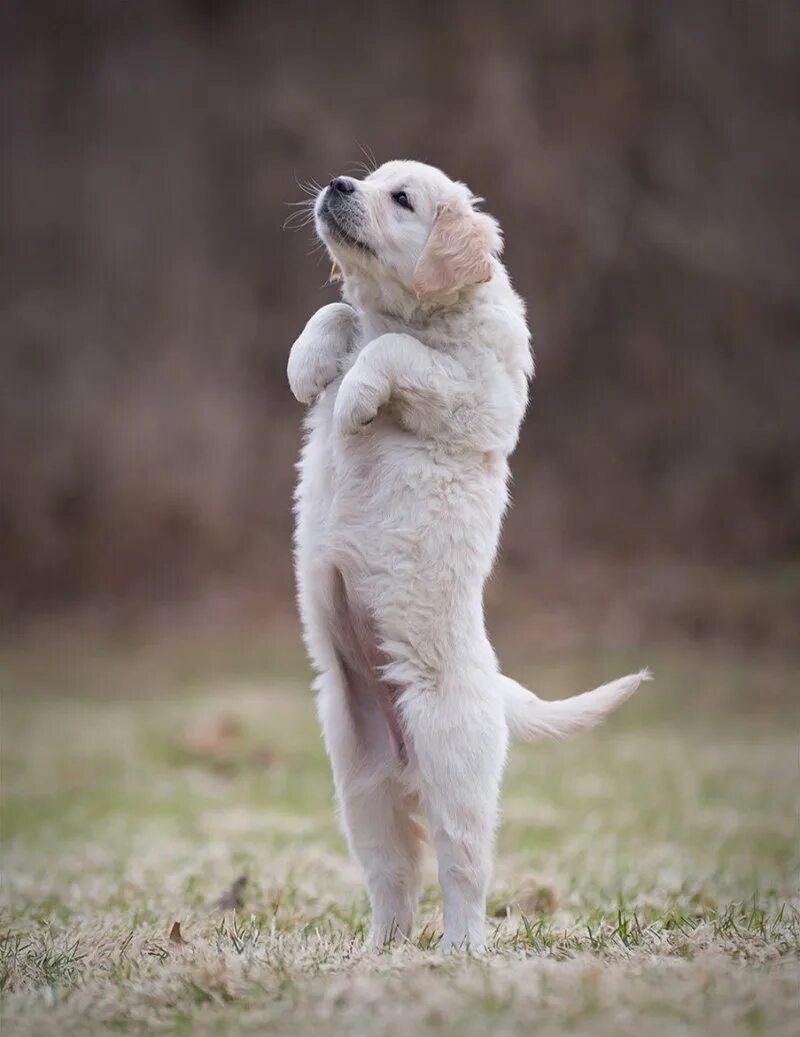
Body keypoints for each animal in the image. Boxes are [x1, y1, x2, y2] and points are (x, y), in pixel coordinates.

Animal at [288, 159, 651, 949]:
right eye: (367, 178)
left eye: (401, 199)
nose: (337, 185)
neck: (399, 309)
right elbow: (334, 317)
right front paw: (309, 367)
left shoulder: (471, 389)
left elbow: (395, 353)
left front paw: (355, 396)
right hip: (359, 781)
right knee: (393, 874)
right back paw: (379, 949)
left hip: (454, 767)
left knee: (462, 869)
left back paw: (459, 949)